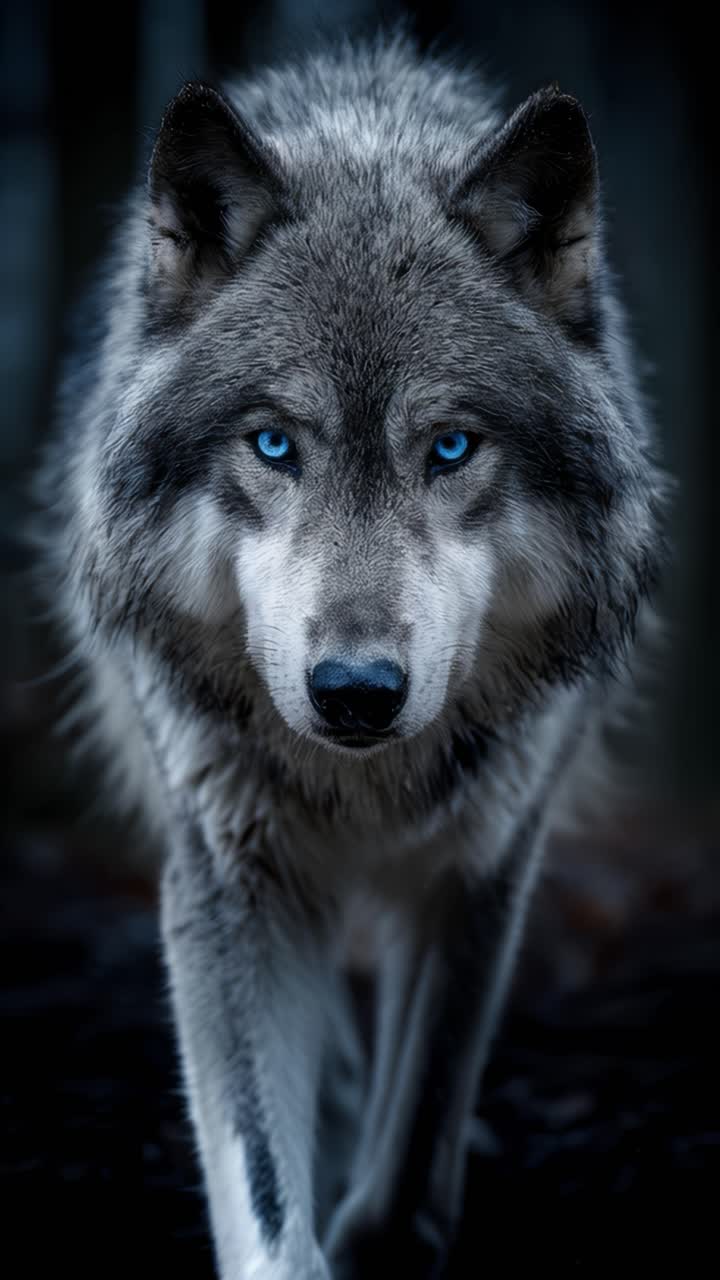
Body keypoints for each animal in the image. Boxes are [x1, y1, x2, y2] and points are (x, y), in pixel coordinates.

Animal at [36, 27, 666, 1280]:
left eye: (452, 447)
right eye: (275, 444)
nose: (358, 694)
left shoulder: (484, 864)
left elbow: (412, 1147)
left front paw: (389, 1220)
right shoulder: (229, 877)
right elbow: (270, 1201)